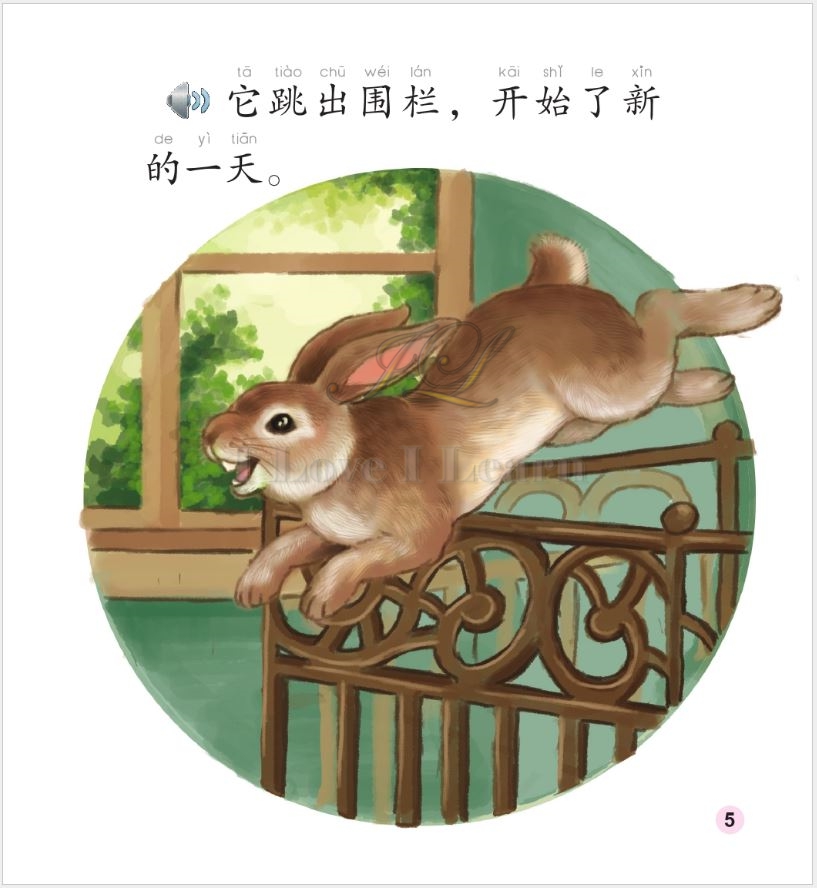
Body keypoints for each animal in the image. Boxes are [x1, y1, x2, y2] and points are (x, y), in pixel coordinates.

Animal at [202, 233, 781, 623]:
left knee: (657, 310)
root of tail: (557, 286)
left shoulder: (421, 533)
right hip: (585, 417)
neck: (346, 453)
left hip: (607, 386)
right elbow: (290, 545)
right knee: (656, 376)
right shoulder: (326, 531)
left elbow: (367, 557)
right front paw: (252, 586)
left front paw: (323, 596)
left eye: (280, 422)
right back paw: (714, 380)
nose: (210, 437)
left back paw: (755, 304)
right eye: (242, 399)